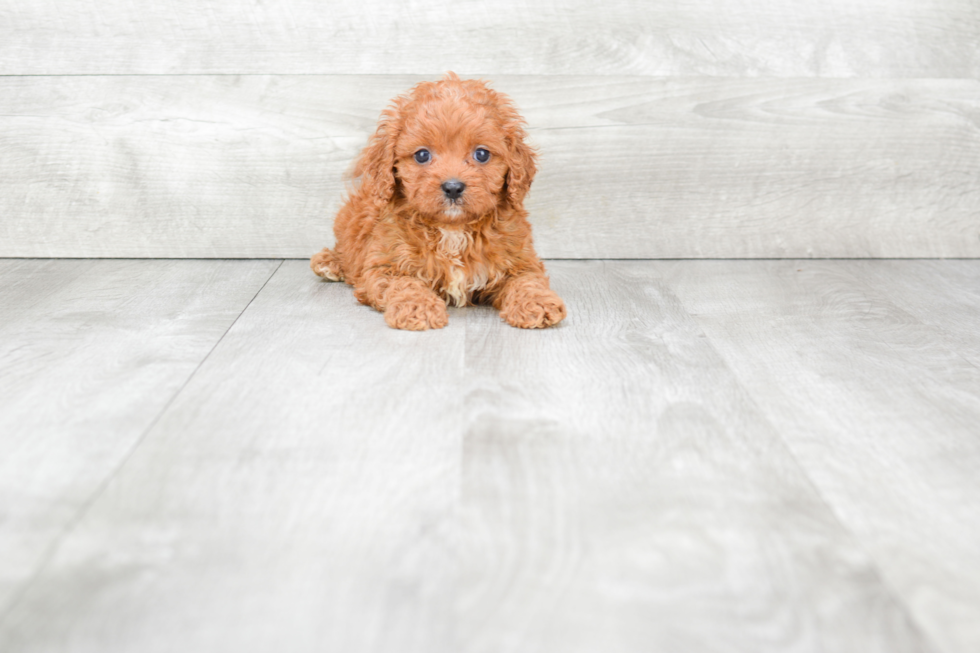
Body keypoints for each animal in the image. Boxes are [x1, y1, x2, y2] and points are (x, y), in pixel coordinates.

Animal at [306, 72, 568, 332]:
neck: (453, 230)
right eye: (422, 155)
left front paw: (537, 302)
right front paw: (416, 306)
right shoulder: (385, 266)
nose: (452, 187)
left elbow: (527, 280)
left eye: (482, 154)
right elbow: (404, 283)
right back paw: (329, 262)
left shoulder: (519, 260)